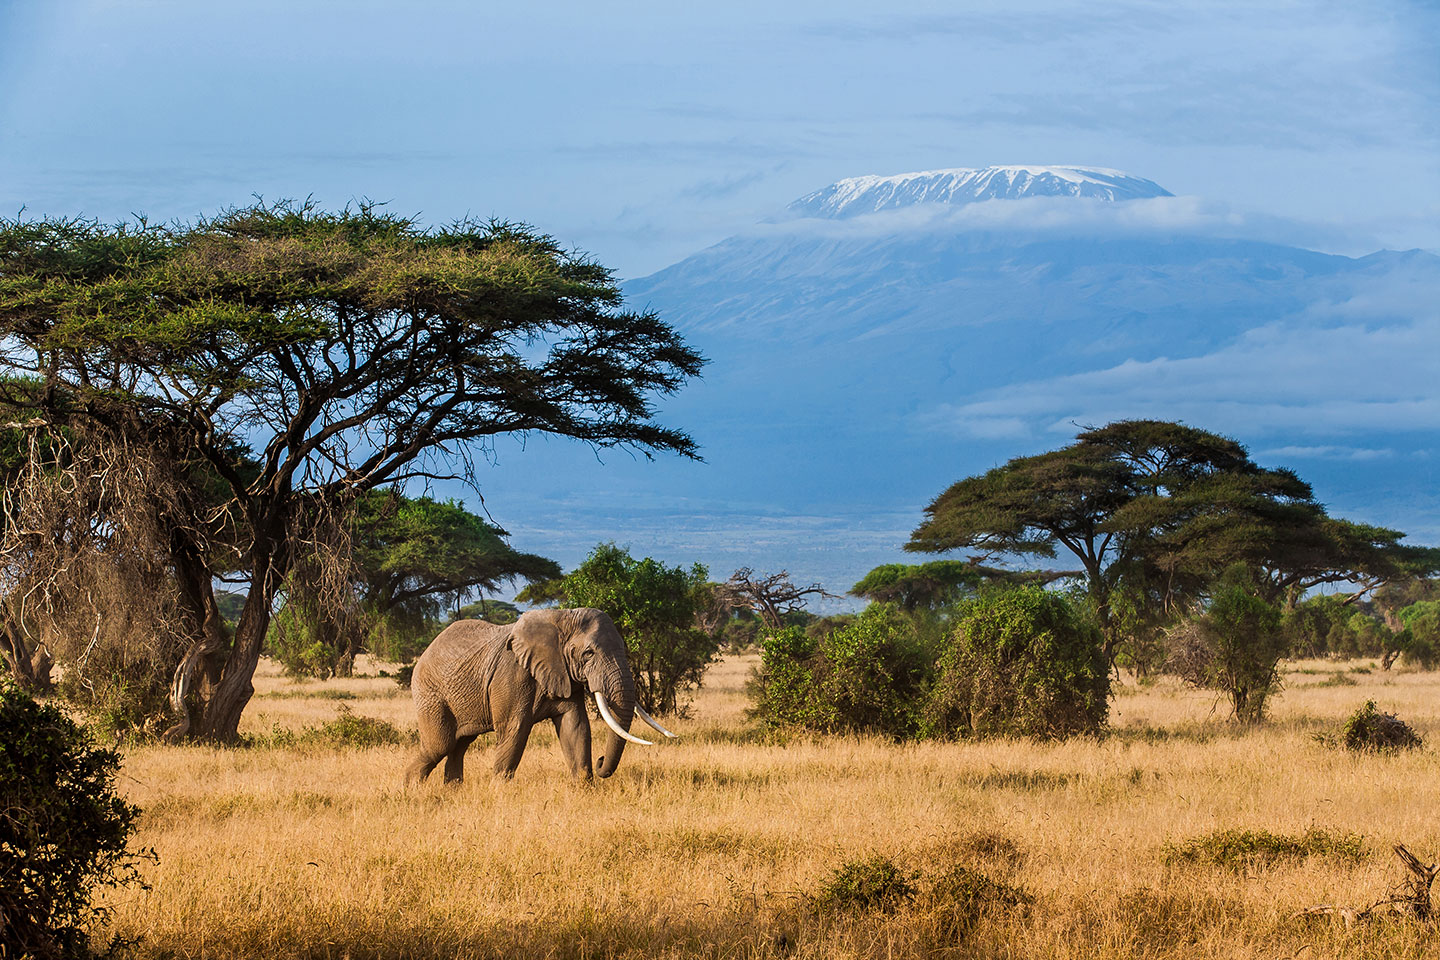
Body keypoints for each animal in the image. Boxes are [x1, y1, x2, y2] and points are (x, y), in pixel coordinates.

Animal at [403, 607, 676, 783]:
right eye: (588, 654)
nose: (601, 761)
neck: (561, 617)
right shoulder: (512, 674)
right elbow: (514, 732)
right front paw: (499, 794)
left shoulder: (564, 673)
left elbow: (575, 728)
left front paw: (583, 789)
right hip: (430, 694)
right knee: (440, 745)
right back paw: (412, 791)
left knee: (459, 747)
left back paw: (451, 792)